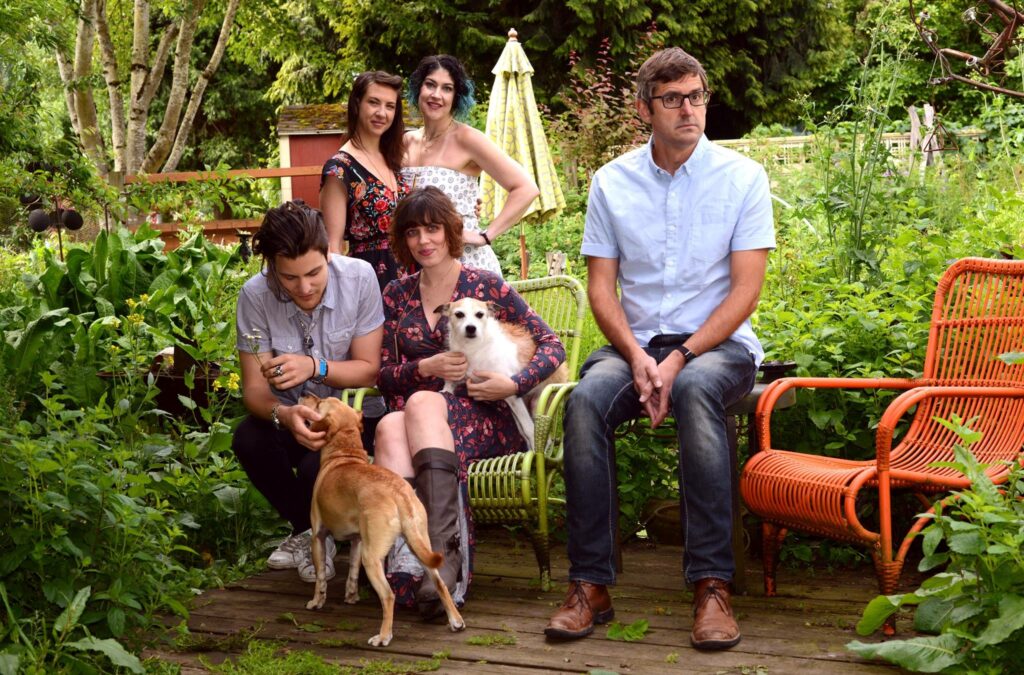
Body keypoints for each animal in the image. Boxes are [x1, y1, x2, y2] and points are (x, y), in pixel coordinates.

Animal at [299, 393, 466, 647]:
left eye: (319, 404)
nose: (304, 394)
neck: (344, 454)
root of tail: (399, 492)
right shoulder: (358, 540)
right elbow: (352, 573)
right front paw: (351, 596)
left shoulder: (318, 535)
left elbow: (320, 578)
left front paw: (316, 602)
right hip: (419, 546)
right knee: (440, 584)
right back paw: (455, 621)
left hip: (373, 557)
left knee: (388, 596)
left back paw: (383, 636)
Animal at [438, 299, 573, 448]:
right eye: (459, 314)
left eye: (480, 314)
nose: (471, 328)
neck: (473, 347)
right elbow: (446, 390)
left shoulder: (511, 394)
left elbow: (529, 430)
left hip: (536, 404)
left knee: (540, 436)